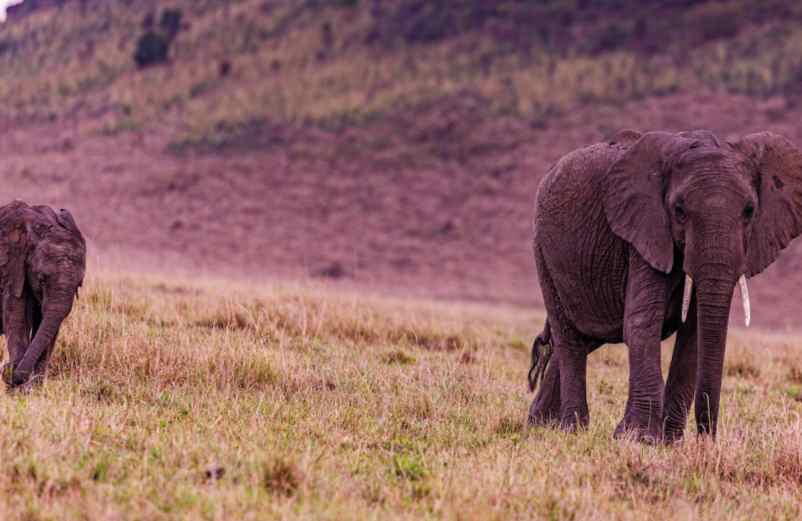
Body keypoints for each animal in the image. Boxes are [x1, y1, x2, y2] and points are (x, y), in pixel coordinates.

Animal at [0, 201, 86, 388]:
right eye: (41, 279)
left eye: (79, 284)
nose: (6, 369)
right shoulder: (13, 268)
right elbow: (16, 316)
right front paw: (19, 387)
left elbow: (48, 322)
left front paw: (35, 386)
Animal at [524, 128, 800, 440]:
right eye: (678, 210)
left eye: (750, 210)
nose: (707, 437)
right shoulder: (644, 233)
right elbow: (642, 321)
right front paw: (638, 439)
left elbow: (695, 331)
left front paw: (669, 442)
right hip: (543, 250)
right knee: (569, 337)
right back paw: (572, 429)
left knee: (584, 338)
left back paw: (542, 426)